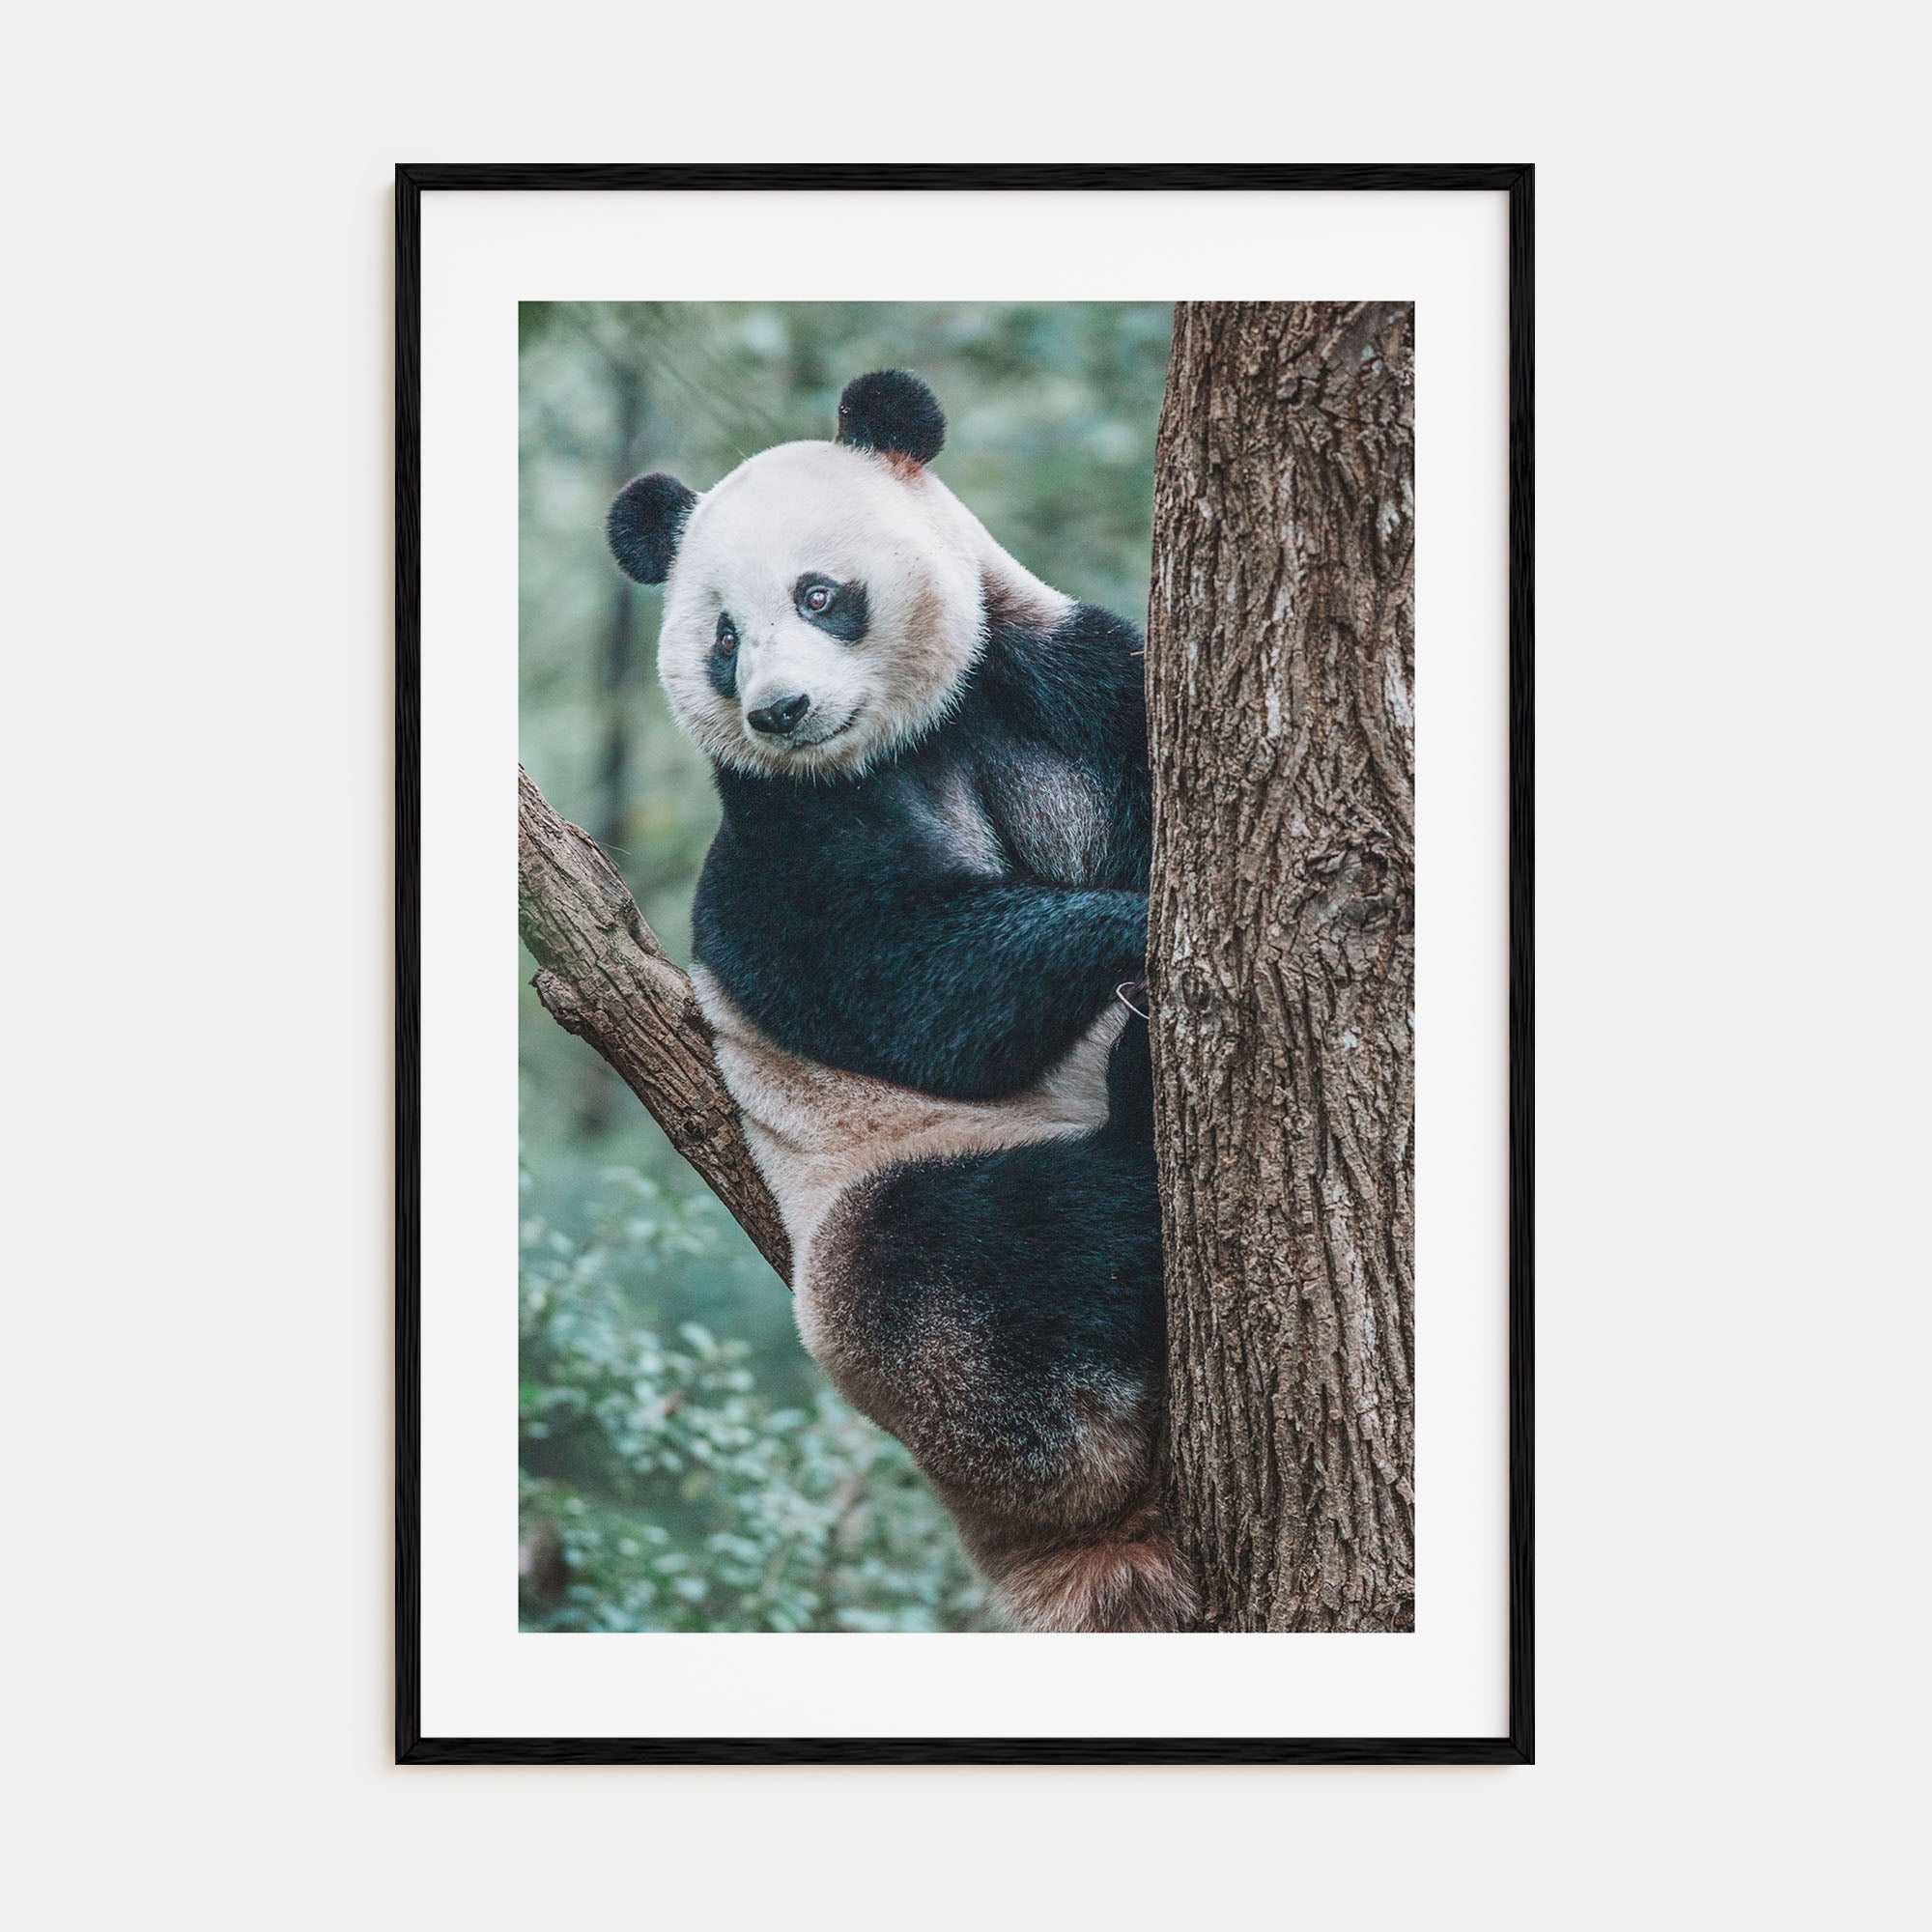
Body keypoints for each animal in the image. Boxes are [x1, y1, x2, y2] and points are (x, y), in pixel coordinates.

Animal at [607, 370, 1192, 1632]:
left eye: (818, 594)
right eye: (722, 637)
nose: (779, 709)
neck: (909, 738)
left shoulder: (1063, 686)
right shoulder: (778, 842)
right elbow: (912, 985)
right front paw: (1128, 927)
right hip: (876, 1248)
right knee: (983, 1259)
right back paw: (1126, 1116)